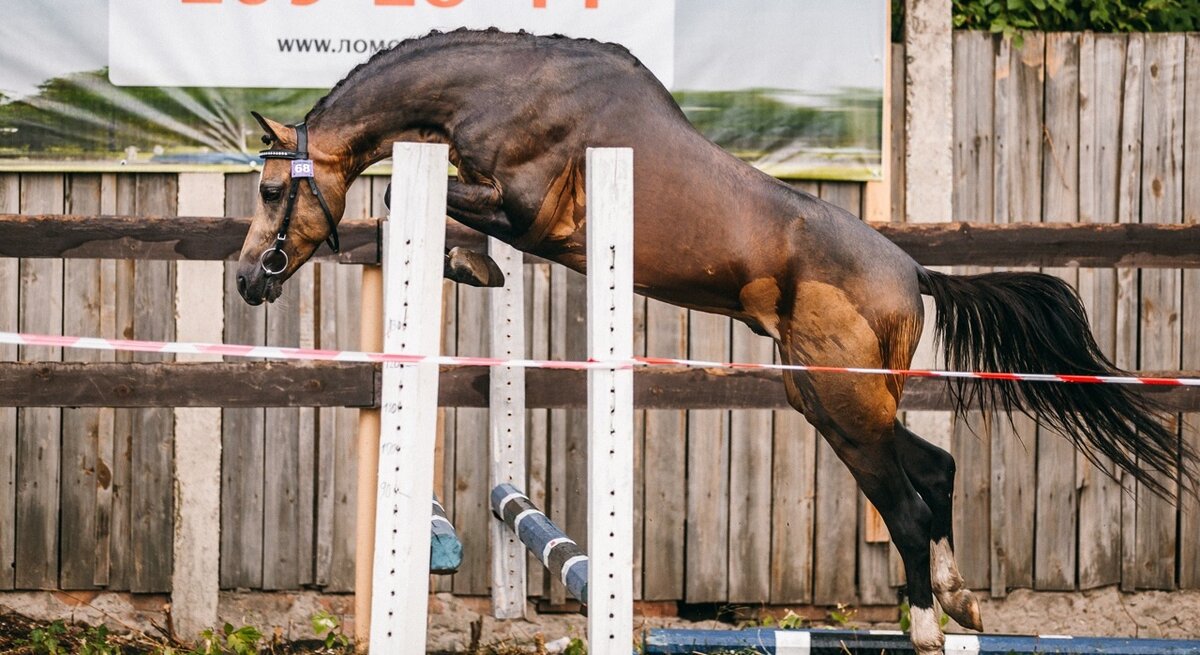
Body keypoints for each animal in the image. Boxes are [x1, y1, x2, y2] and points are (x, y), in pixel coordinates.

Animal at [234, 28, 1190, 647]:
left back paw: (925, 625)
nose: (249, 280)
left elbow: (408, 196)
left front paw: (467, 265)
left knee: (910, 504)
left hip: (843, 398)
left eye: (273, 193)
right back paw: (962, 602)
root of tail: (912, 272)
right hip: (826, 401)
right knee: (933, 471)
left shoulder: (526, 209)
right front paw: (475, 268)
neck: (504, 84)